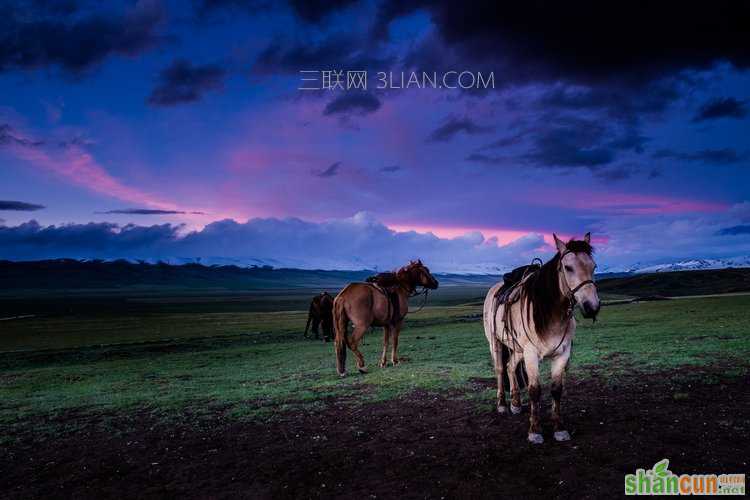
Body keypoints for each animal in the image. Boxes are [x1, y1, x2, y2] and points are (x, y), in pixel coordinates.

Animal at [484, 232, 604, 444]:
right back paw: (502, 404)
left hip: (517, 348)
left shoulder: (562, 353)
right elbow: (535, 390)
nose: (592, 307)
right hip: (496, 343)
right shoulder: (532, 354)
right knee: (500, 369)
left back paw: (515, 402)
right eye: (568, 267)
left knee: (510, 366)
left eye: (594, 266)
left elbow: (556, 390)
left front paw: (559, 428)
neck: (550, 313)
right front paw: (535, 431)